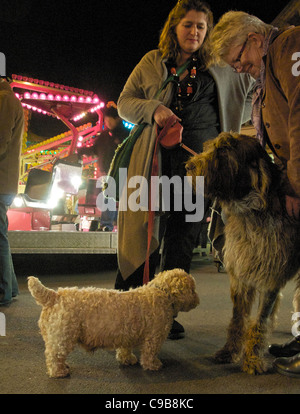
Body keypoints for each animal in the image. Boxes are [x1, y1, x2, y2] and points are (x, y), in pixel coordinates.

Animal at [27, 268, 198, 378]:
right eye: (193, 289)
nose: (197, 300)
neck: (161, 293)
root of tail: (54, 296)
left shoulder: (128, 334)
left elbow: (125, 349)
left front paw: (127, 359)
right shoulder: (154, 337)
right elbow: (150, 353)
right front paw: (153, 364)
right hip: (62, 337)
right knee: (54, 355)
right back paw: (59, 372)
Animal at [186, 133, 298, 376]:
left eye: (223, 151)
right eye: (210, 147)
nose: (189, 166)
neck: (250, 211)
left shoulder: (270, 279)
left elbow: (260, 321)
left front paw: (253, 358)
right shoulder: (241, 276)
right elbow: (238, 318)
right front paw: (229, 351)